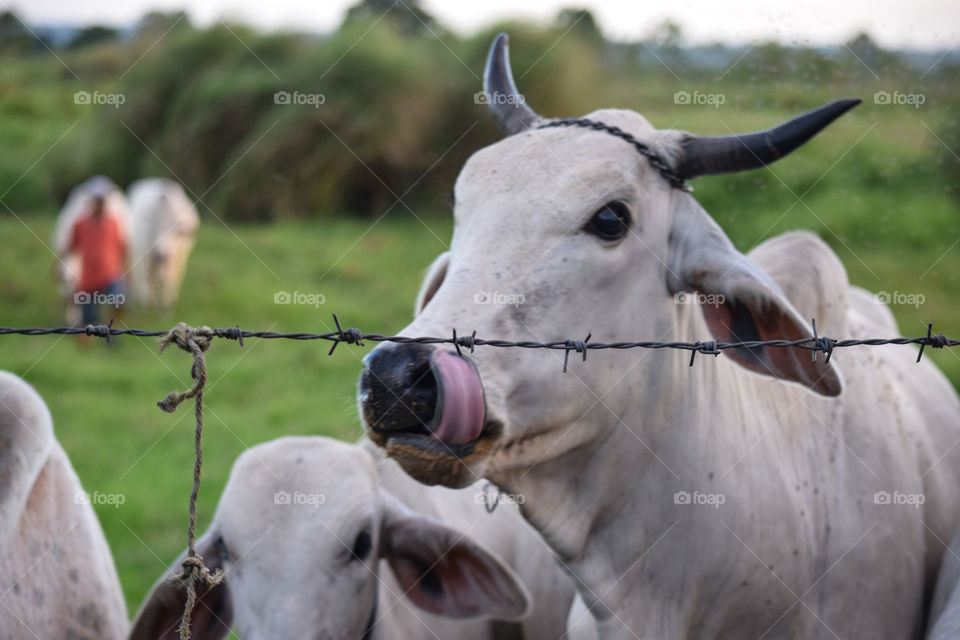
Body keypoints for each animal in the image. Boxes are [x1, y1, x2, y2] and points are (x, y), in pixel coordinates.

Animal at [126, 179, 200, 312]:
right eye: (154, 226)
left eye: (176, 231)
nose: (160, 255)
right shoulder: (146, 257)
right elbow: (147, 279)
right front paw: (147, 304)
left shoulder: (177, 260)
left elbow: (170, 281)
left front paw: (167, 307)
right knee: (141, 276)